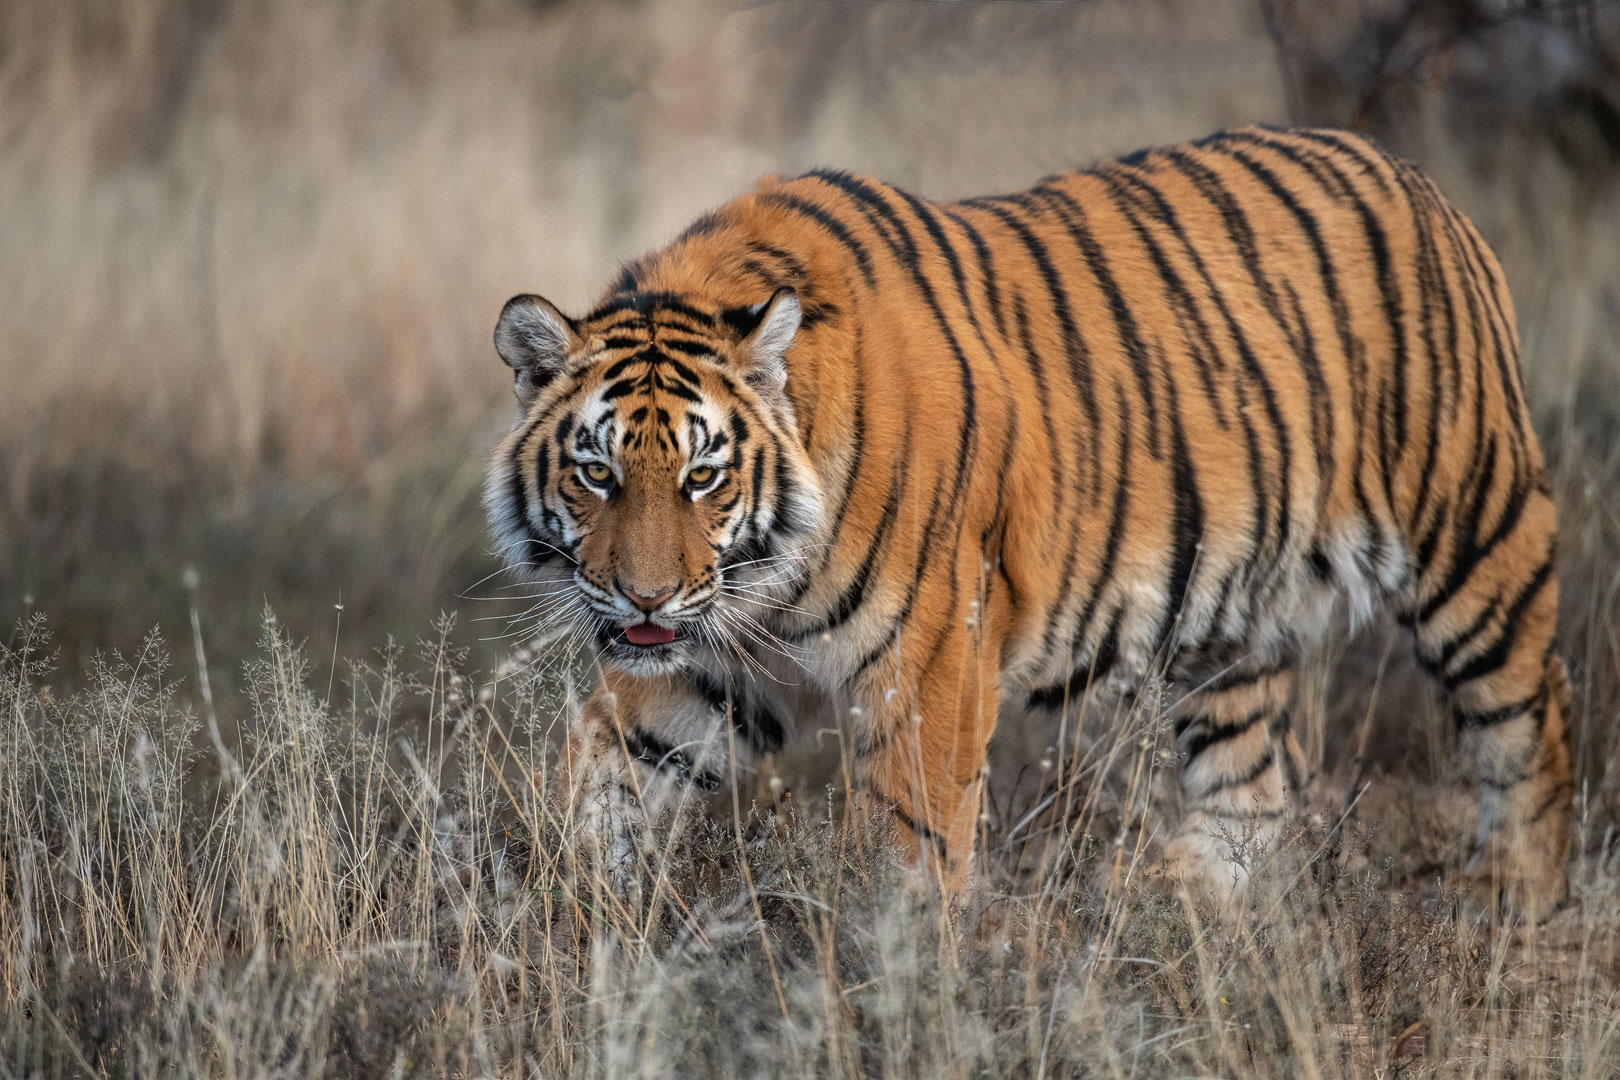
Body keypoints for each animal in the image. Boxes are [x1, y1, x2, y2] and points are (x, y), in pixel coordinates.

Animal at [479, 128, 1568, 919]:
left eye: (703, 476)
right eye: (597, 473)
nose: (644, 598)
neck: (764, 577)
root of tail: (1415, 176)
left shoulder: (931, 656)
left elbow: (917, 839)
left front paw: (906, 982)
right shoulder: (709, 661)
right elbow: (603, 778)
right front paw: (574, 920)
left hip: (1477, 538)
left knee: (1529, 724)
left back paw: (1513, 907)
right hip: (1226, 618)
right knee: (1255, 784)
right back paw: (1193, 905)